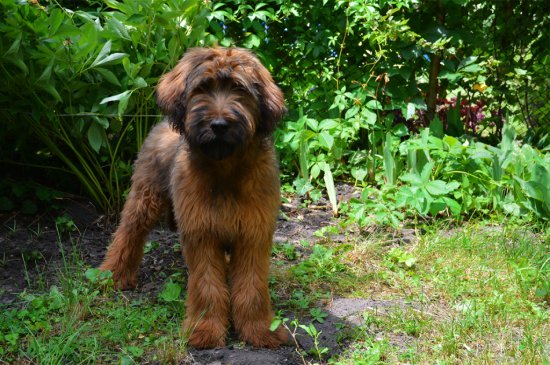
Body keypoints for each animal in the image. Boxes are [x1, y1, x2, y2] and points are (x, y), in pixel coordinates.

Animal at [99, 46, 288, 346]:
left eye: (239, 88)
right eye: (202, 87)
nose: (219, 124)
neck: (224, 169)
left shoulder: (253, 233)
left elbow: (252, 286)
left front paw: (260, 329)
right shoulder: (201, 232)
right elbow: (207, 285)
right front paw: (205, 330)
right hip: (145, 197)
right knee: (128, 234)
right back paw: (113, 275)